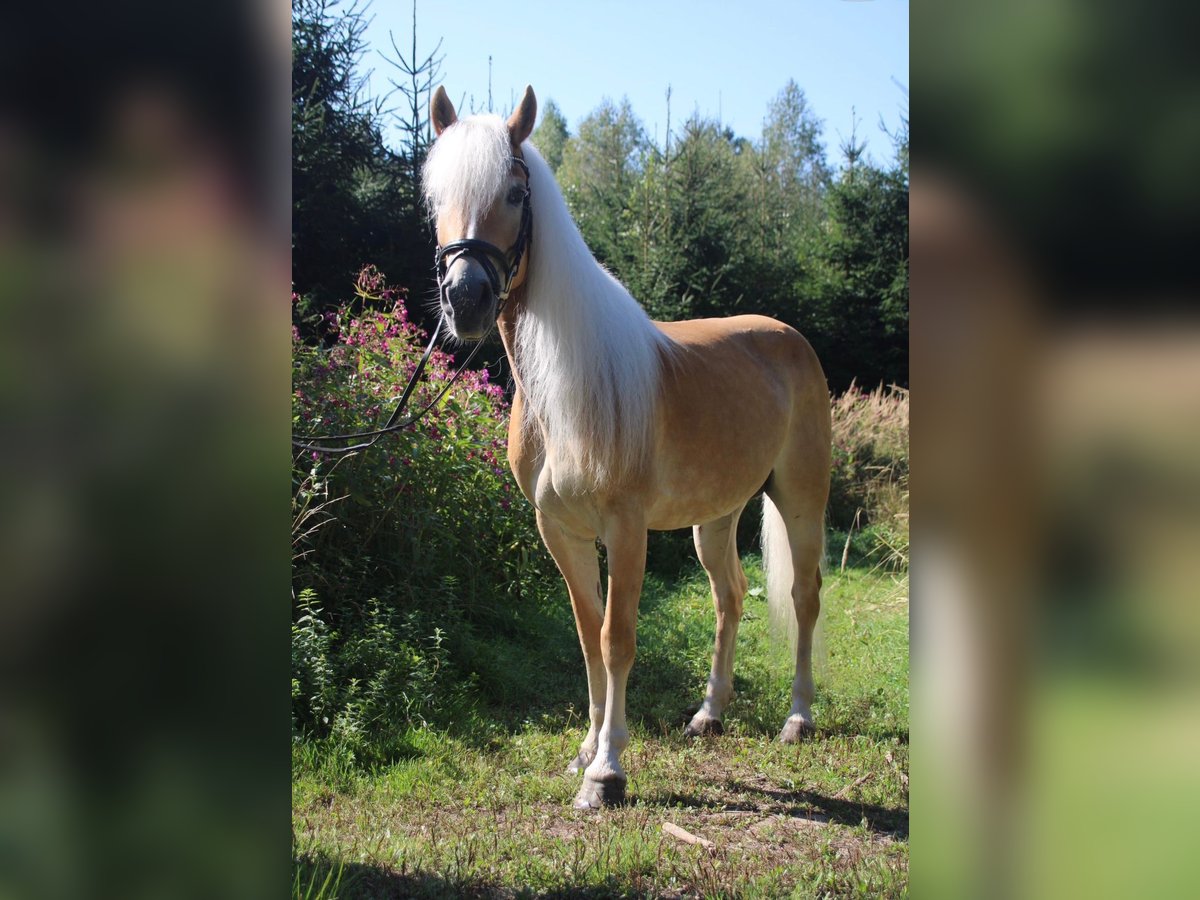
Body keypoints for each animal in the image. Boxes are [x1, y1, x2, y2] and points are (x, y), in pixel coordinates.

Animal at [423, 85, 831, 809]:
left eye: (516, 192)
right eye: (434, 193)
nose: (465, 299)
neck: (564, 391)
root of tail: (790, 338)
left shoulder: (626, 527)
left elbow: (617, 639)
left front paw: (607, 772)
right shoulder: (559, 528)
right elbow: (588, 635)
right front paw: (585, 751)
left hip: (800, 498)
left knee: (803, 597)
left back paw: (798, 717)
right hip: (715, 517)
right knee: (730, 597)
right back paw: (709, 714)